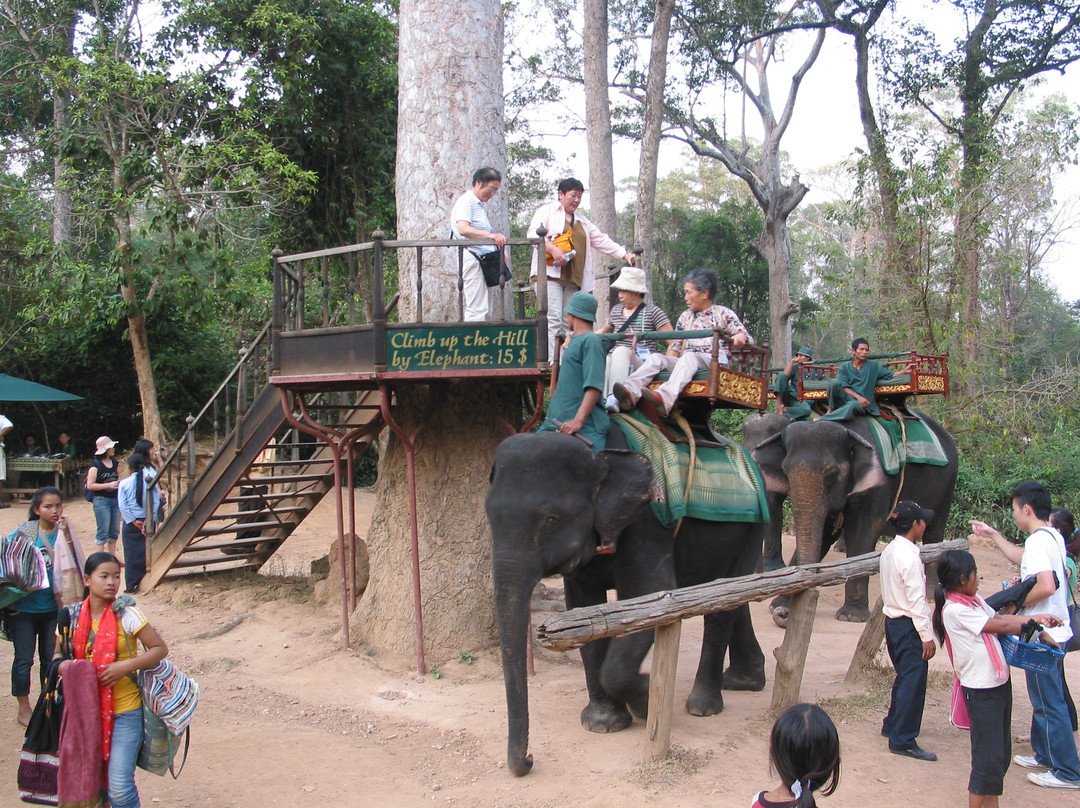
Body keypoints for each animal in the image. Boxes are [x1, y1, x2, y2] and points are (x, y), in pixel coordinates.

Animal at [490, 429, 768, 777]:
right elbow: (582, 609)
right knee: (734, 593)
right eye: (489, 517)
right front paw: (603, 724)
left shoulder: (647, 523)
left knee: (723, 607)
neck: (597, 455)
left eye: (550, 519)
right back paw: (744, 681)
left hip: (752, 528)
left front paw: (648, 698)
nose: (528, 760)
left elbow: (651, 593)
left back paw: (702, 706)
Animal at [747, 410, 959, 626]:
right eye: (785, 471)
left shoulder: (879, 484)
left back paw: (931, 595)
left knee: (934, 531)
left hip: (947, 485)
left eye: (831, 474)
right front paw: (778, 603)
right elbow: (824, 534)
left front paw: (851, 616)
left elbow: (862, 531)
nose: (783, 614)